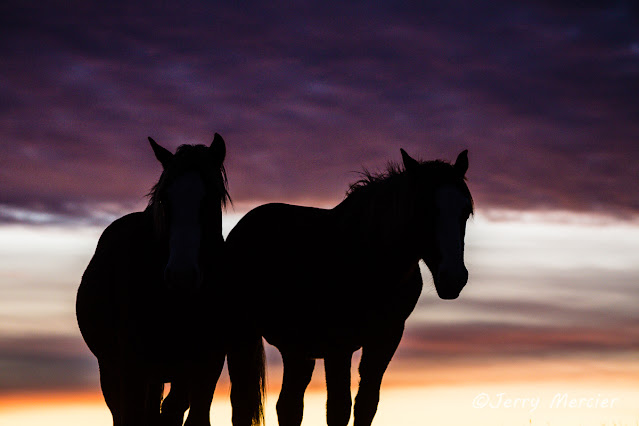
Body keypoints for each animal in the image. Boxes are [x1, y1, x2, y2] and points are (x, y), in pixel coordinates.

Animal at [77, 136, 264, 426]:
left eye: (212, 198)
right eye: (164, 199)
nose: (181, 275)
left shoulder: (205, 367)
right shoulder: (132, 369)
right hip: (111, 371)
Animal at [226, 148, 476, 424]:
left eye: (465, 211)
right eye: (423, 209)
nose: (453, 278)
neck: (366, 258)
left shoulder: (384, 340)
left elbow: (367, 404)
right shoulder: (338, 346)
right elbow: (339, 408)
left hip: (296, 349)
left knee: (288, 406)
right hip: (241, 334)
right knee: (241, 406)